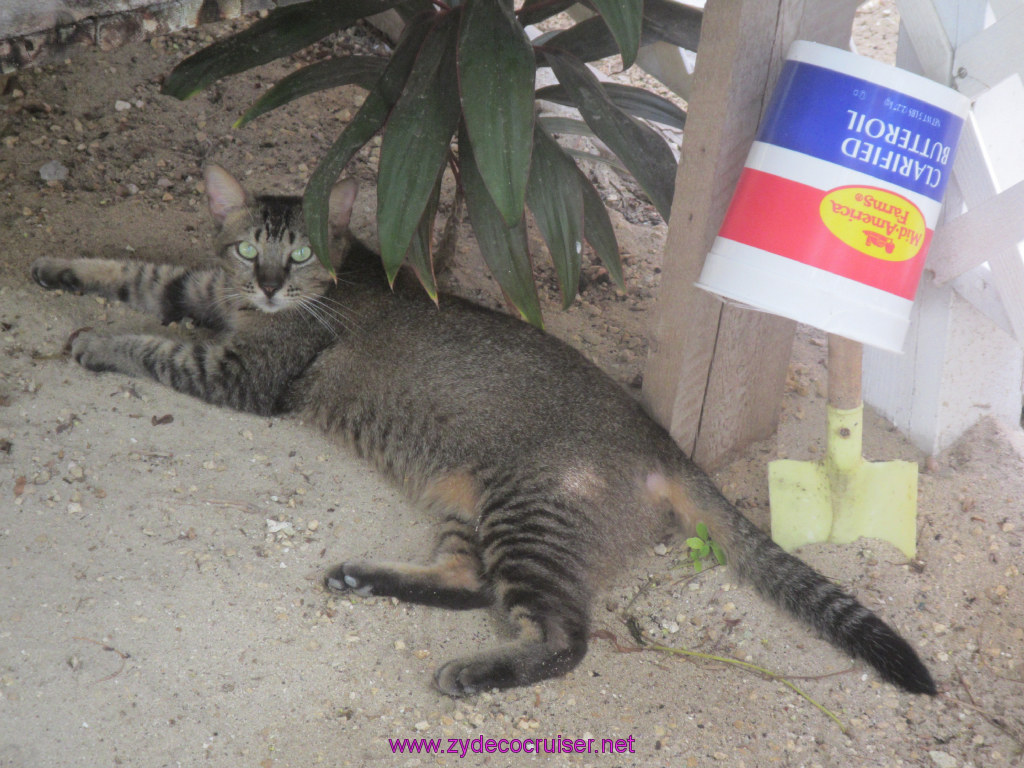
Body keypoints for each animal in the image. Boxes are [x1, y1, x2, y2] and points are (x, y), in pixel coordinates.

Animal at [28, 165, 937, 700]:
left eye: (301, 254)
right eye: (250, 247)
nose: (273, 285)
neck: (256, 306)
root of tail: (662, 442)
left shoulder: (240, 372)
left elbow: (153, 344)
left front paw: (94, 342)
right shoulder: (201, 292)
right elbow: (139, 274)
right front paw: (57, 268)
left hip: (530, 513)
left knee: (566, 638)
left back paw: (473, 671)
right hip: (470, 504)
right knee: (469, 582)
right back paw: (365, 577)